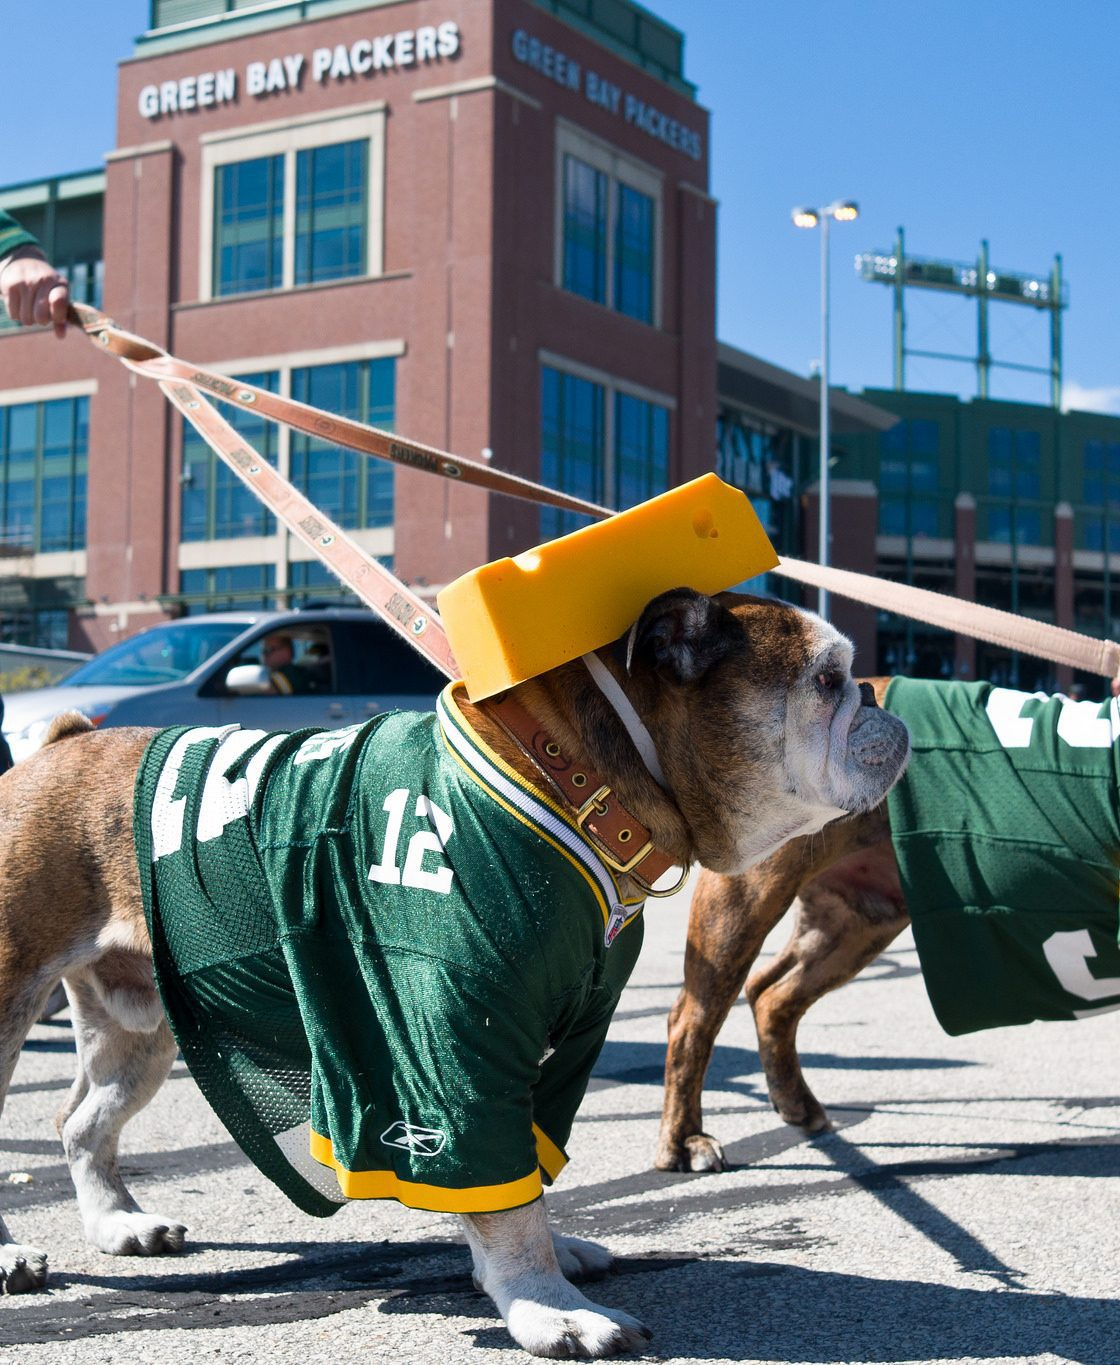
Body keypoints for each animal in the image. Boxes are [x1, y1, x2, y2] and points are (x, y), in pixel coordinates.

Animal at [0, 588, 909, 1356]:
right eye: (828, 681)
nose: (879, 702)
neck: (585, 780)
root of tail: (63, 739)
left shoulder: (549, 1047)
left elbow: (523, 1169)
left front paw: (549, 1258)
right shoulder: (449, 1033)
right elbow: (499, 1186)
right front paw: (549, 1308)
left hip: (140, 1022)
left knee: (81, 1121)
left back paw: (118, 1223)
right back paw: (16, 1256)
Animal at [656, 675, 1120, 1174]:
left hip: (858, 922)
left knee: (772, 994)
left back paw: (796, 1103)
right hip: (746, 902)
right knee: (693, 1019)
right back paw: (685, 1138)